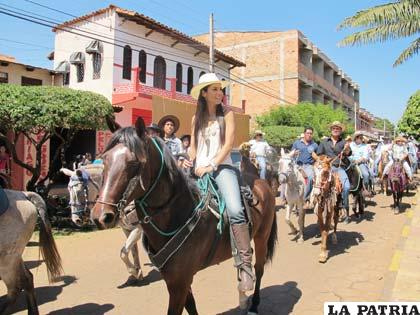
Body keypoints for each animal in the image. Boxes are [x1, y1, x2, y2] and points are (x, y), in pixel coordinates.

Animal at [90, 118, 278, 315]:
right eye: (105, 159)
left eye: (133, 162)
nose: (101, 216)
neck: (179, 214)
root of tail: (261, 182)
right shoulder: (175, 279)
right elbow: (191, 306)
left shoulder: (179, 283)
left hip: (262, 237)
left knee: (259, 268)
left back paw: (253, 304)